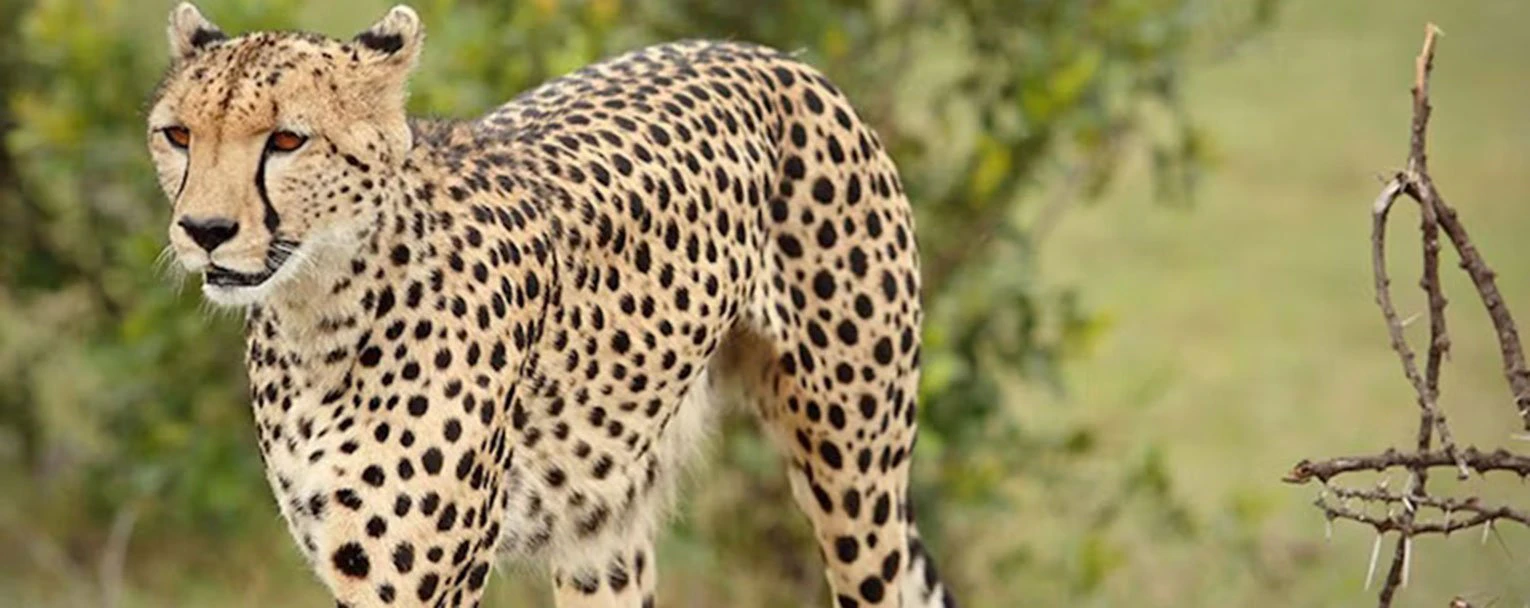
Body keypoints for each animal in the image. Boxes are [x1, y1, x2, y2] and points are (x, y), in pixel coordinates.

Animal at [148, 3, 956, 607]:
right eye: (177, 134)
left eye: (287, 140)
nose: (205, 231)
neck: (321, 313)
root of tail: (774, 59)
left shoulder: (413, 580)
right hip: (605, 518)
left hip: (856, 479)